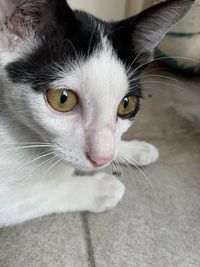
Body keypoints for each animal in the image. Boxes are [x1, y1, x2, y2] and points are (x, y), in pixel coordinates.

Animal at [0, 0, 194, 227]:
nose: (101, 160)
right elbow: (41, 192)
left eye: (127, 104)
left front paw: (135, 149)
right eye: (63, 99)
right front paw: (100, 188)